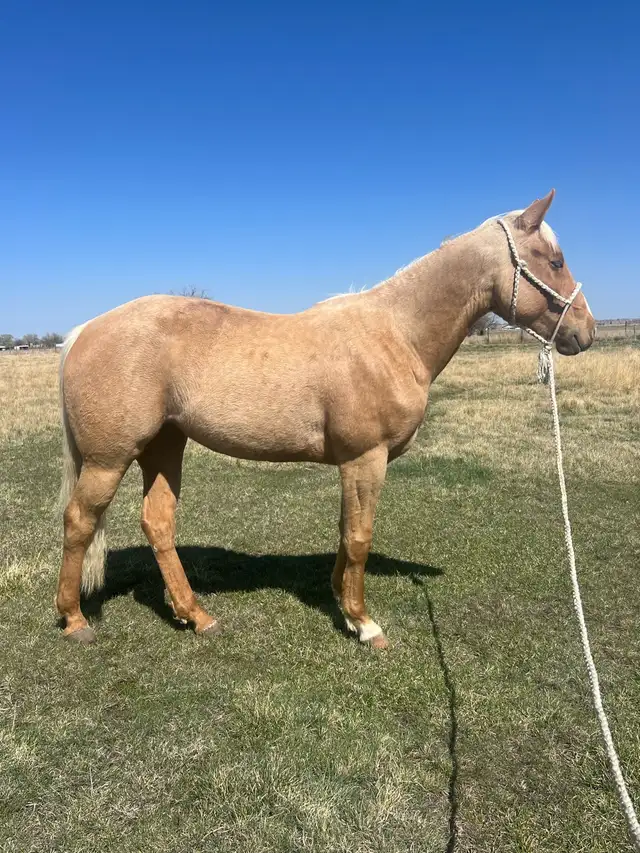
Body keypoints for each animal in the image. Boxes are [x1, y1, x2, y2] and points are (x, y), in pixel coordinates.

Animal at [57, 190, 595, 648]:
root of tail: (86, 330)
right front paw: (364, 624)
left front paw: (341, 600)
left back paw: (197, 615)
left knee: (158, 523)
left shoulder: (352, 465)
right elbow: (359, 537)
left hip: (165, 446)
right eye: (555, 261)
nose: (585, 332)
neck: (395, 333)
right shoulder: (366, 459)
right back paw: (75, 620)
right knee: (80, 520)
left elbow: (344, 530)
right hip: (109, 459)